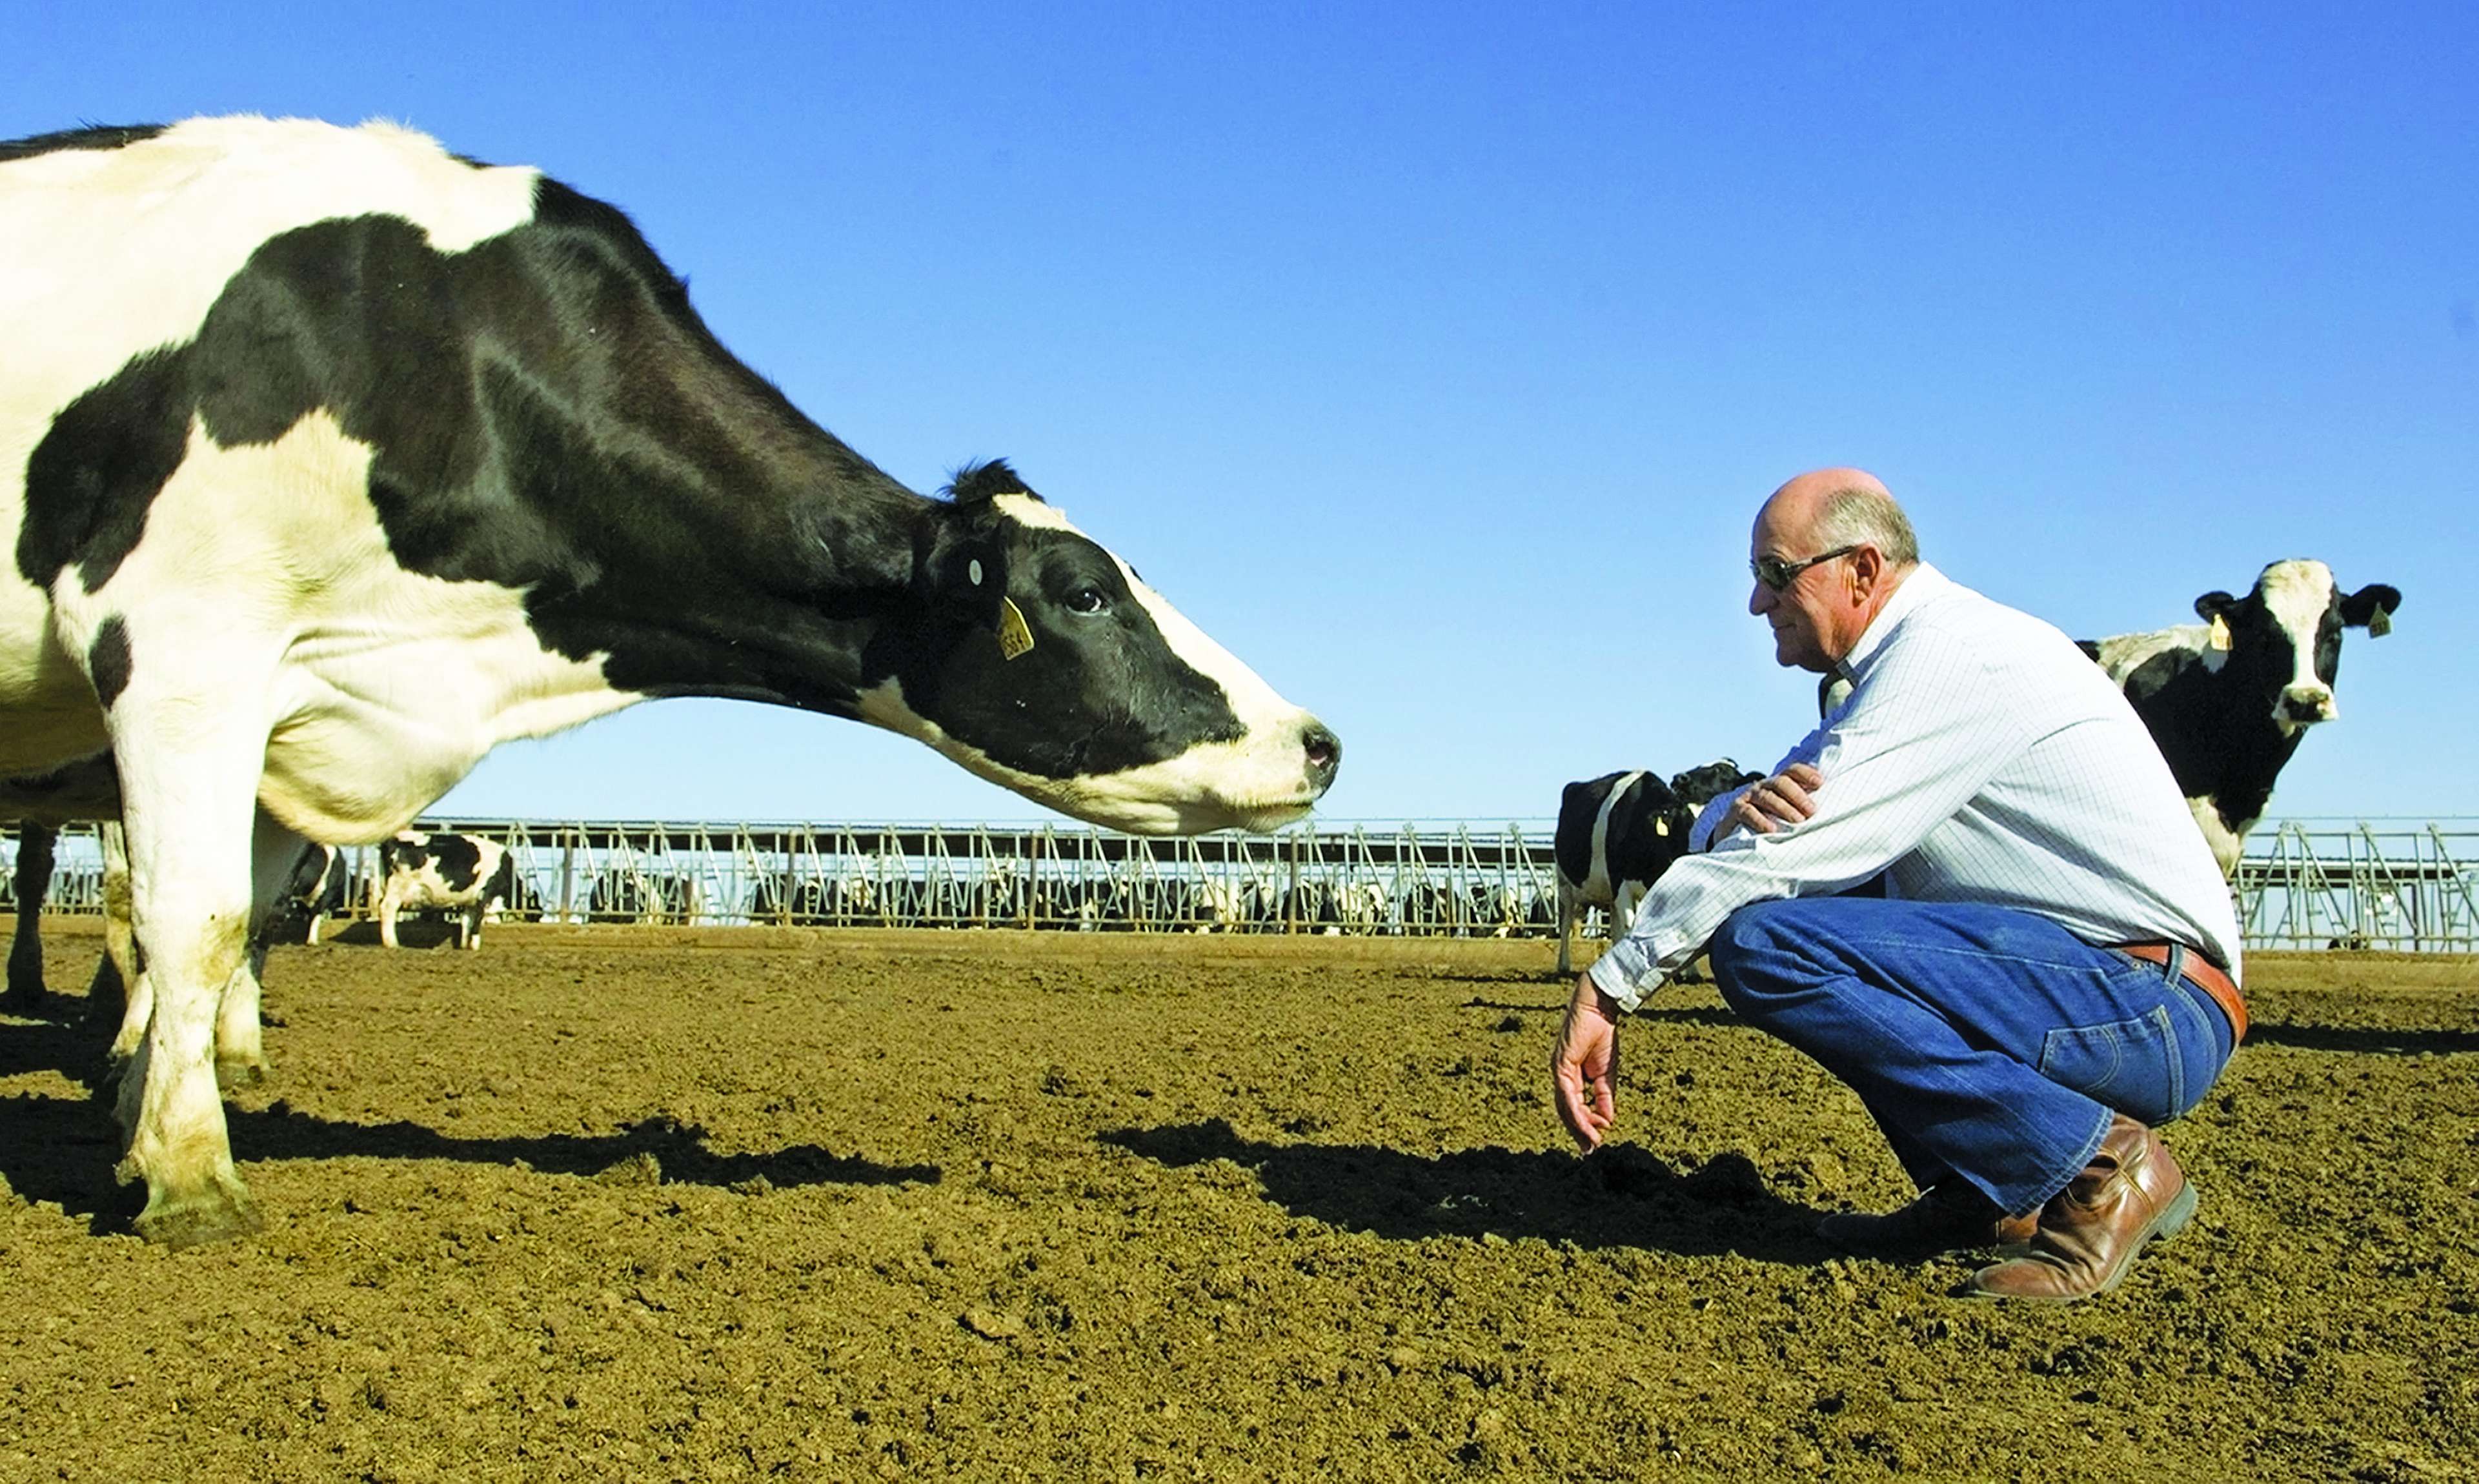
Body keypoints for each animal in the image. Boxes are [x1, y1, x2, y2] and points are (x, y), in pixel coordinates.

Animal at [372, 837, 513, 951]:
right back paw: (392, 943)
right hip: (397, 887)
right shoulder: (486, 895)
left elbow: (467, 921)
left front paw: (464, 946)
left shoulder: (471, 901)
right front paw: (475, 946)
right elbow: (477, 920)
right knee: (387, 909)